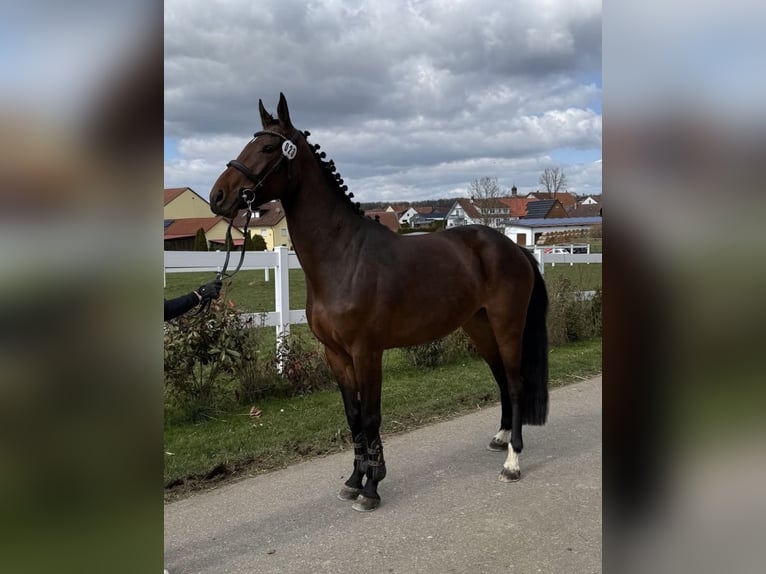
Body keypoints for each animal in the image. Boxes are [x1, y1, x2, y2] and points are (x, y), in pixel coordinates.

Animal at [210, 93, 549, 512]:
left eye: (269, 147)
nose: (218, 196)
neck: (344, 257)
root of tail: (514, 248)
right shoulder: (336, 354)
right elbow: (354, 416)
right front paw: (354, 480)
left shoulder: (366, 351)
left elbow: (371, 417)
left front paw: (371, 487)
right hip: (479, 326)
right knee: (501, 377)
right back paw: (500, 439)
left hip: (507, 324)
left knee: (515, 383)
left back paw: (512, 462)